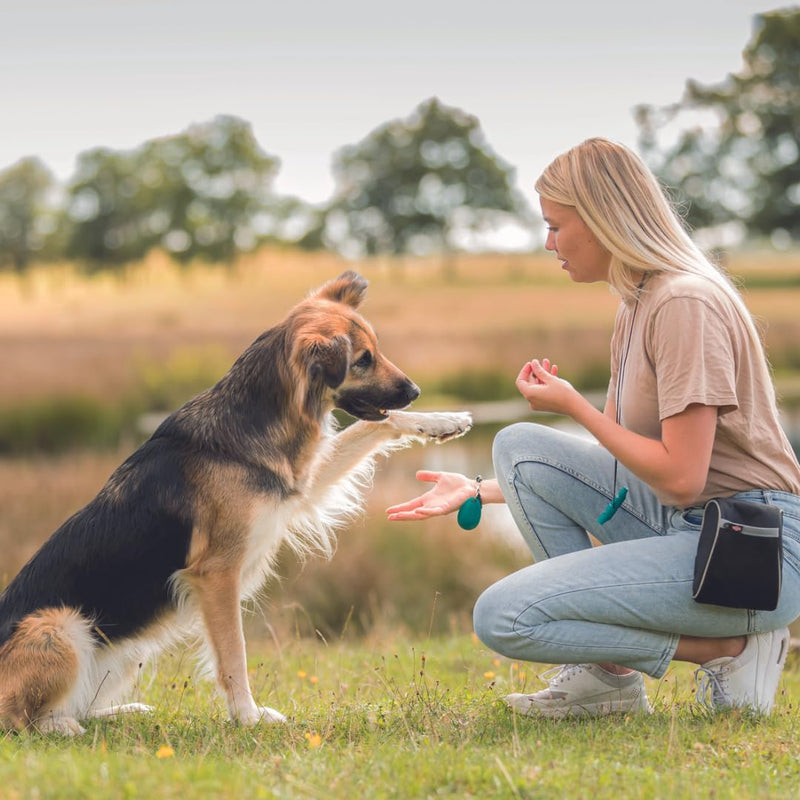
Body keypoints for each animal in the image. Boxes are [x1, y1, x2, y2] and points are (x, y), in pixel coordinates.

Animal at [0, 272, 472, 736]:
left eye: (377, 351)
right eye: (363, 360)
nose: (416, 390)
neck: (259, 414)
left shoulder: (299, 488)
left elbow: (379, 424)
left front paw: (441, 420)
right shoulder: (217, 575)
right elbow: (234, 656)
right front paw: (247, 716)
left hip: (127, 647)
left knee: (81, 705)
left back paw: (121, 712)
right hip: (60, 626)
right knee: (21, 718)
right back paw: (60, 726)